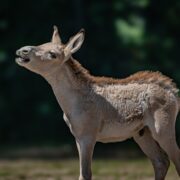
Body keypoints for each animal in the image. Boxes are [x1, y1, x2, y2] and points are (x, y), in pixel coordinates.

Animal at [15, 26, 180, 179]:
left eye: (52, 54)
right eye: (42, 43)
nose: (22, 50)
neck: (70, 106)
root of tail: (174, 92)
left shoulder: (88, 134)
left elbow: (85, 174)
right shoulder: (77, 136)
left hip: (162, 128)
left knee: (175, 158)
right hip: (142, 132)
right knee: (161, 161)